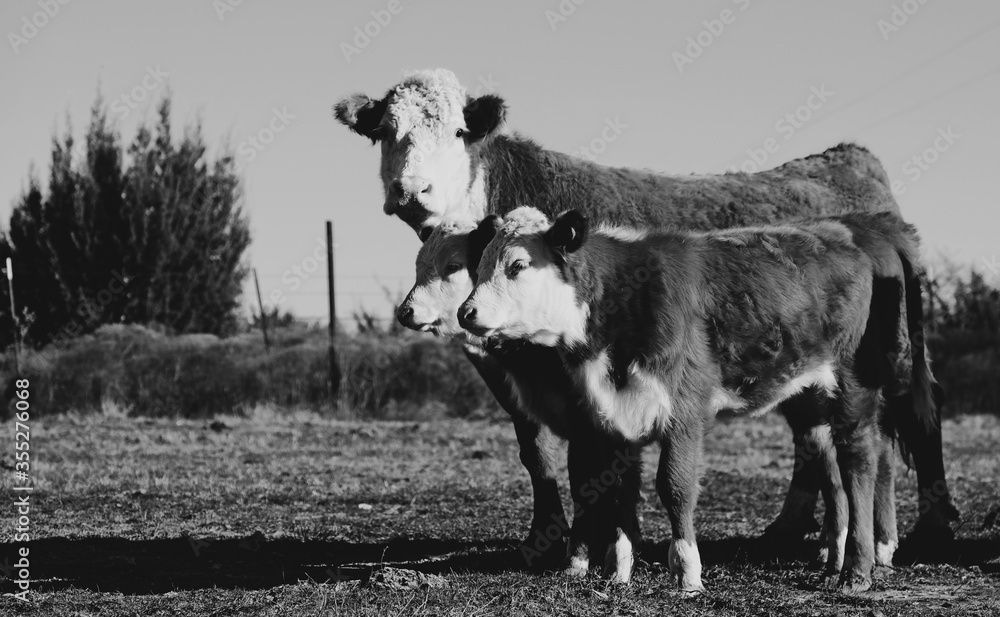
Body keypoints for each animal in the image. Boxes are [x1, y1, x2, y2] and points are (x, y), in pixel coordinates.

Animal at [458, 206, 935, 593]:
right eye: (479, 265)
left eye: (518, 264)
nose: (466, 313)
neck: (624, 298)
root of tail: (855, 226)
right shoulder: (615, 417)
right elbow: (619, 493)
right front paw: (619, 571)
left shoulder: (683, 411)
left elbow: (675, 487)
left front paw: (687, 572)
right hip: (810, 396)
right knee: (837, 465)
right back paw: (842, 558)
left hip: (855, 383)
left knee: (862, 459)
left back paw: (858, 569)